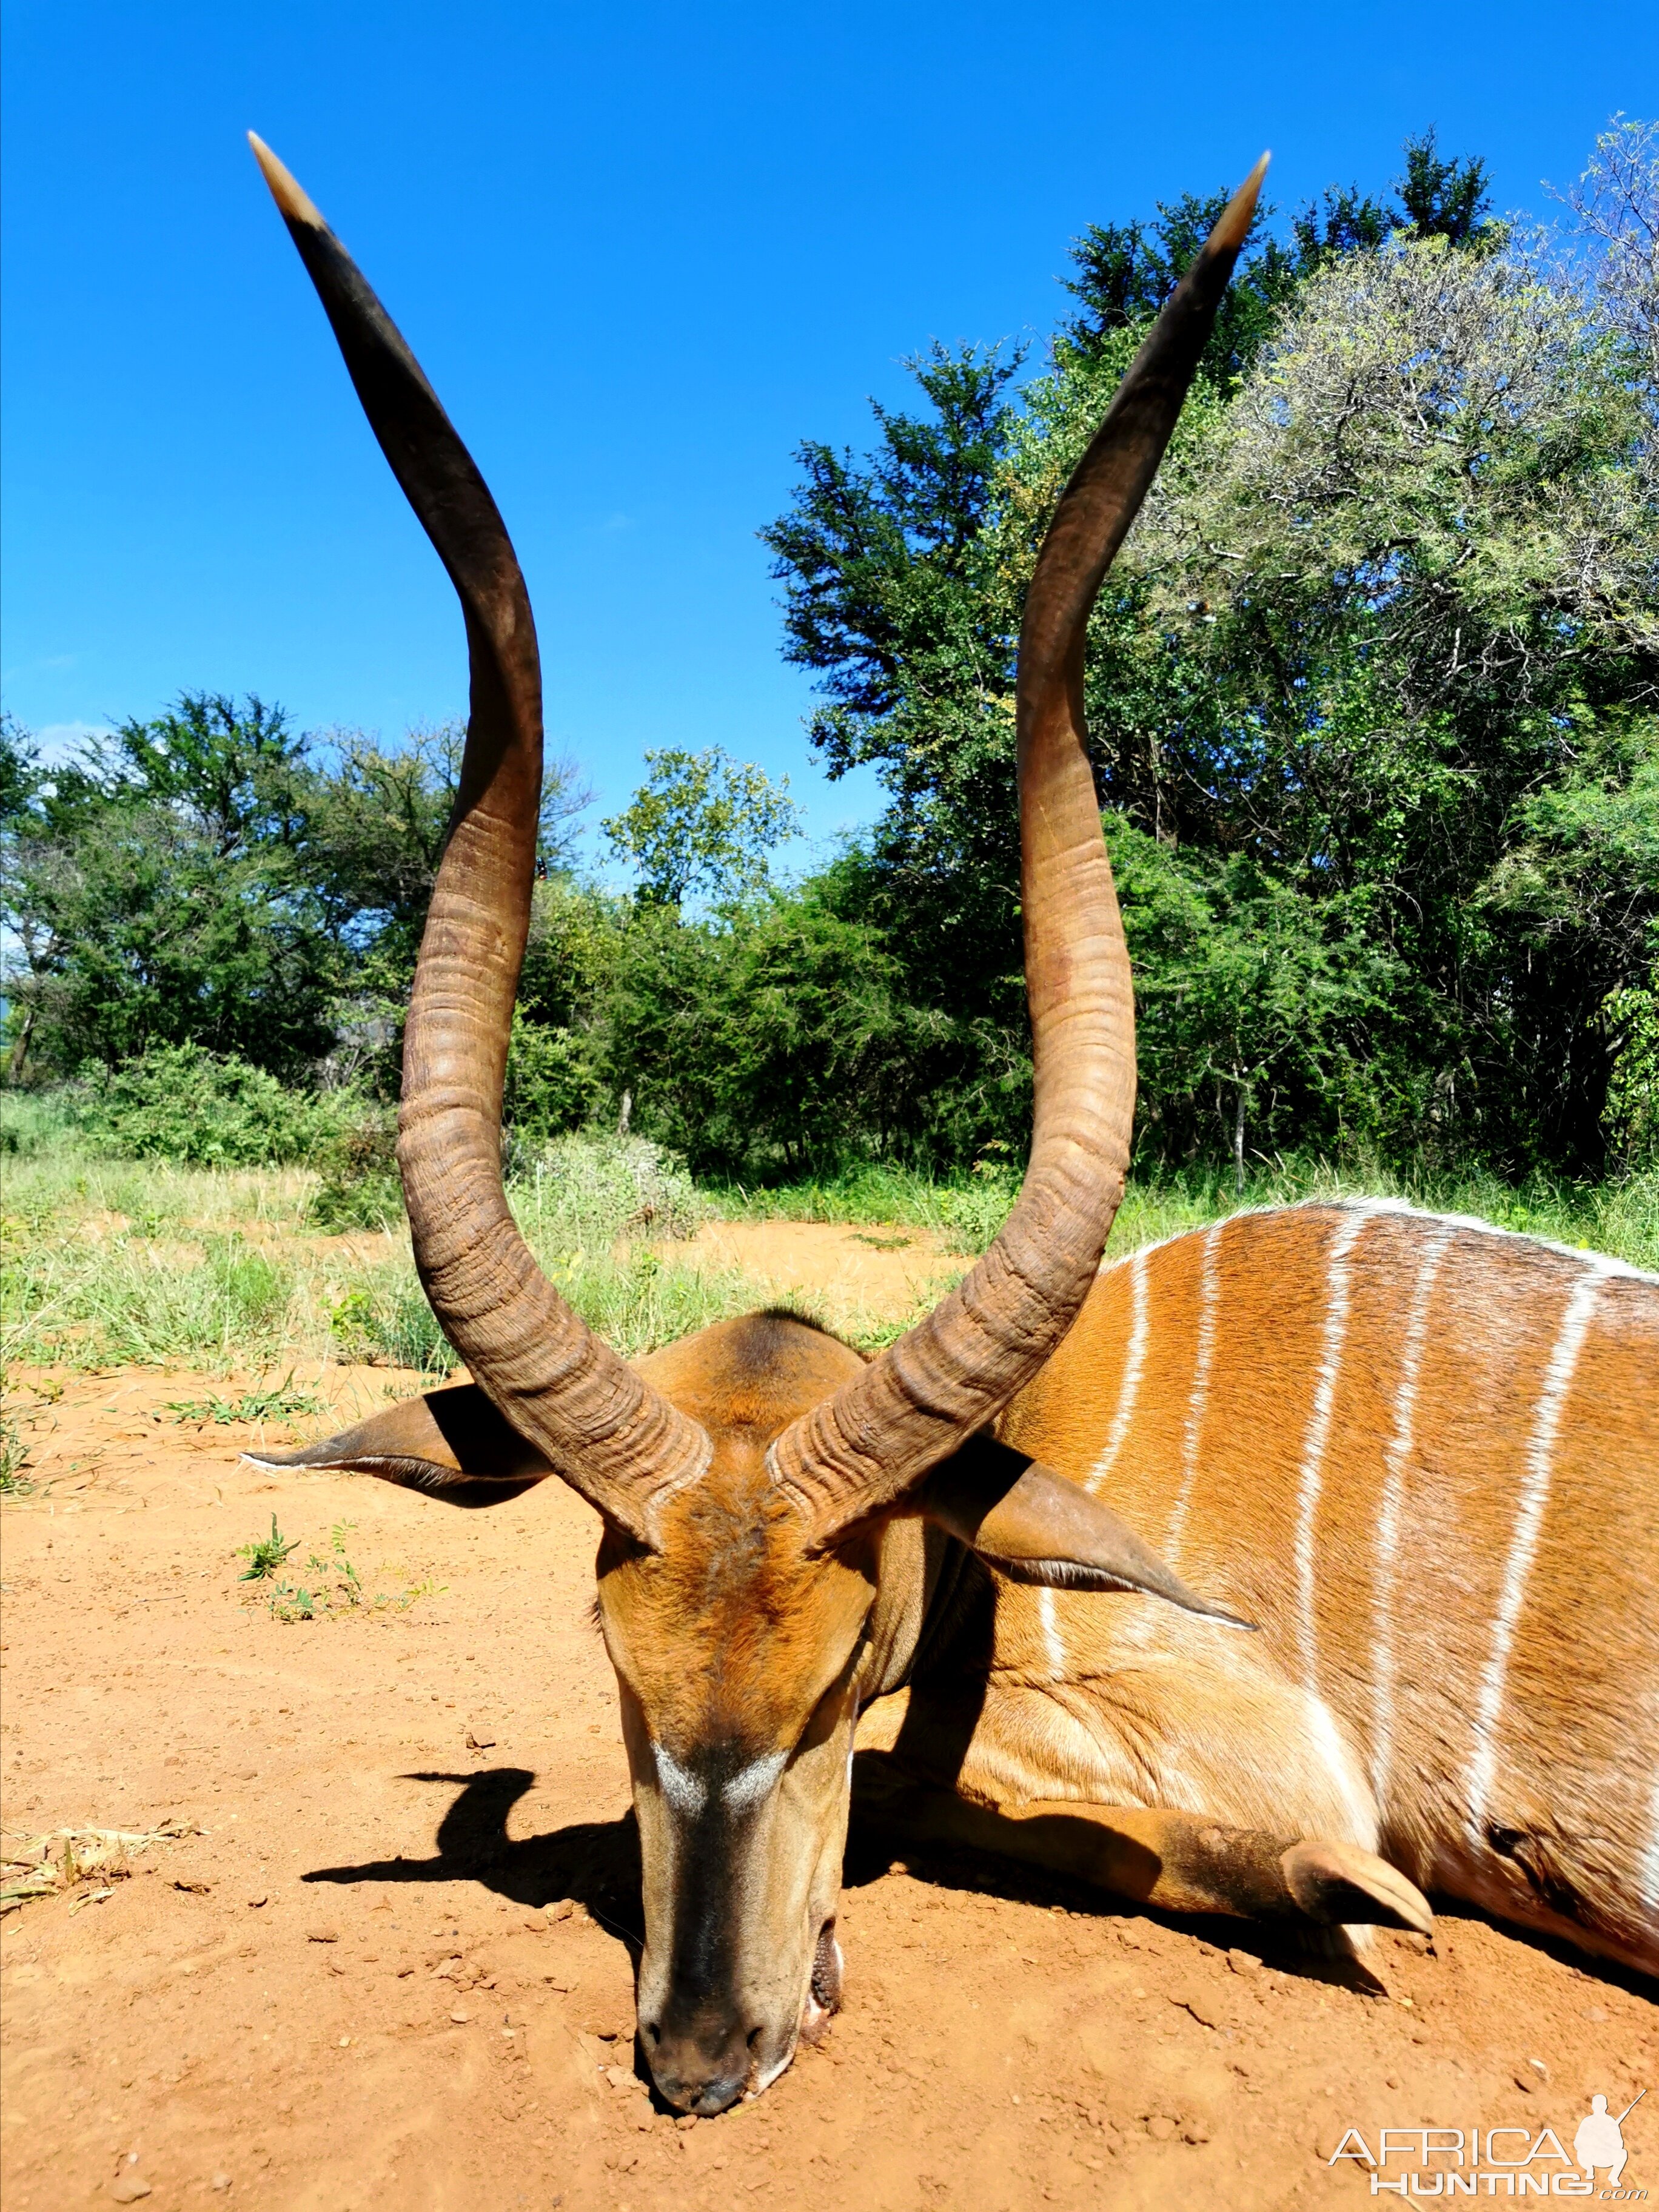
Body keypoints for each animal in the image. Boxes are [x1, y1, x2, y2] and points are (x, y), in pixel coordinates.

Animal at [246, 133, 1659, 2105]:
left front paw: (1349, 1897)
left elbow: (1083, 1810)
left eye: (846, 1671)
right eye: (607, 1654)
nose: (701, 2052)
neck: (1049, 1423)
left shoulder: (1249, 1740)